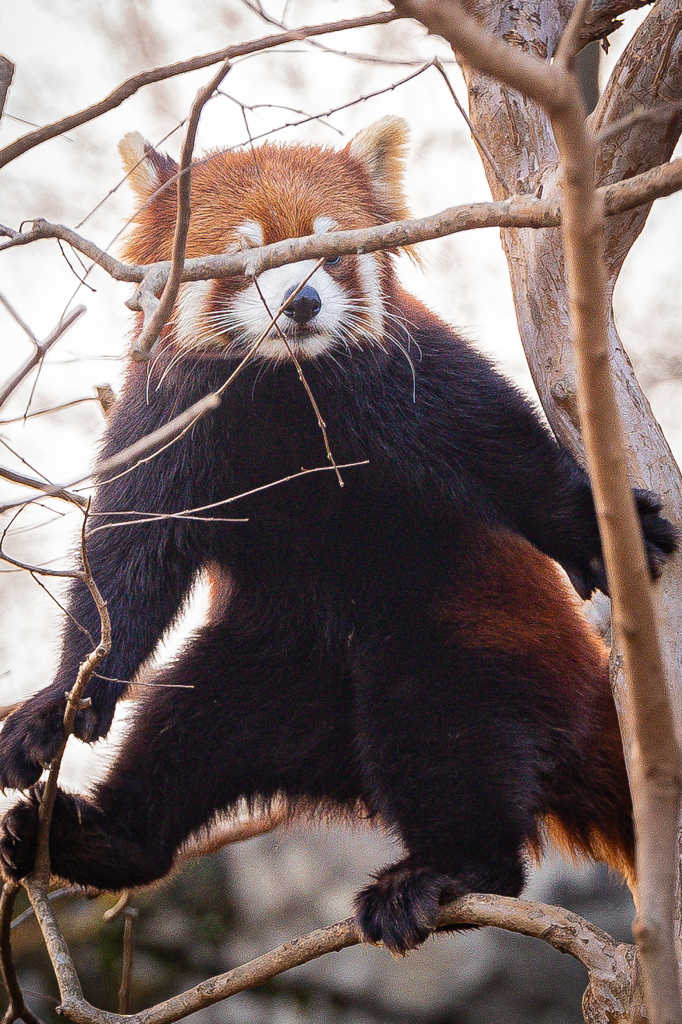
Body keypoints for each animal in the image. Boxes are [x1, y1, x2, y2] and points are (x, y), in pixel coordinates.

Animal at [0, 116, 671, 954]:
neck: (284, 389)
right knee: (185, 727)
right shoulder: (171, 420)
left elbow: (503, 451)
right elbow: (127, 564)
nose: (302, 303)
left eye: (330, 253)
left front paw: (590, 531)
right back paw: (102, 838)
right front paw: (58, 703)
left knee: (445, 736)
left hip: (468, 641)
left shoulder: (406, 379)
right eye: (249, 260)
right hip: (262, 663)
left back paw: (444, 872)